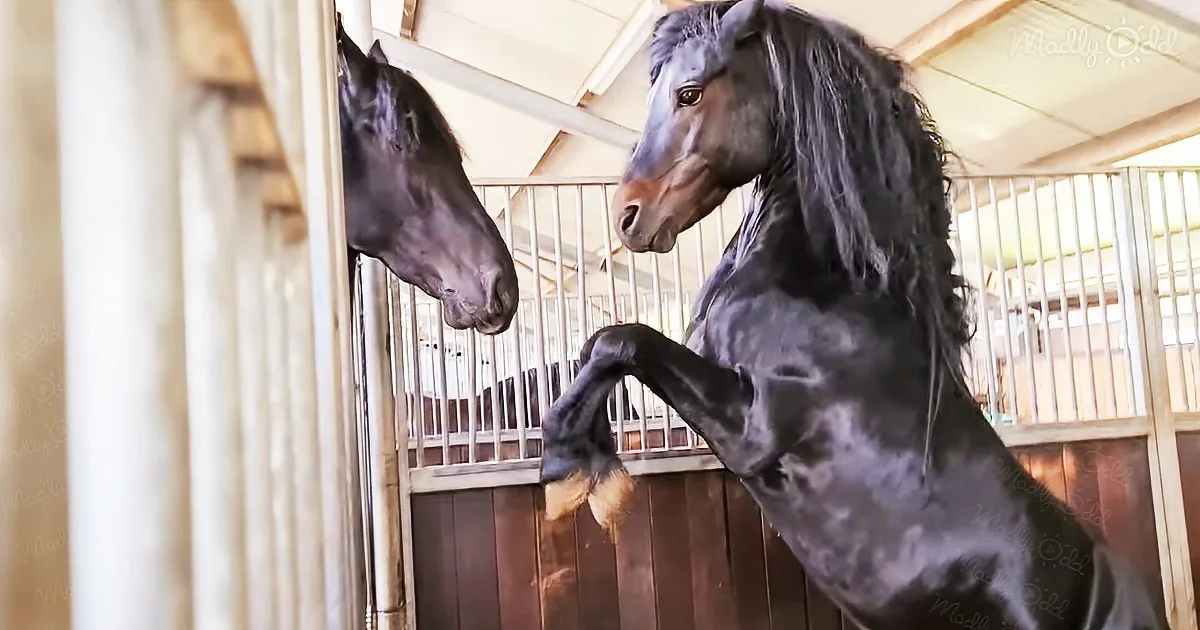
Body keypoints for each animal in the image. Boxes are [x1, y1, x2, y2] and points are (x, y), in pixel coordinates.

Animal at [536, 2, 1167, 629]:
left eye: (688, 93)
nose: (628, 217)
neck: (836, 292)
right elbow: (598, 347)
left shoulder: (753, 430)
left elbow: (623, 341)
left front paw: (569, 476)